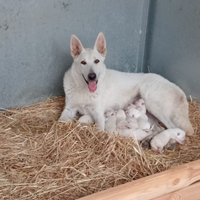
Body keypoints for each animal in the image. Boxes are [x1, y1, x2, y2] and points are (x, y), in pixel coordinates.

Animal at [59, 32, 194, 147]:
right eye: (83, 62)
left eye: (96, 61)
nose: (92, 76)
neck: (84, 89)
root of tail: (178, 90)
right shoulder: (69, 109)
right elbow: (60, 121)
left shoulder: (99, 115)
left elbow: (99, 130)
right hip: (149, 113)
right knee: (158, 128)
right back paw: (148, 140)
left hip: (153, 104)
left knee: (172, 127)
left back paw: (171, 142)